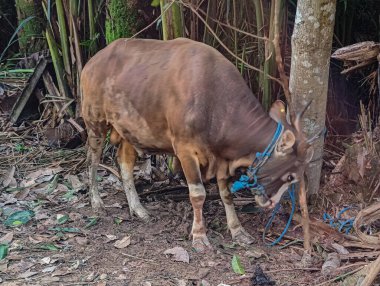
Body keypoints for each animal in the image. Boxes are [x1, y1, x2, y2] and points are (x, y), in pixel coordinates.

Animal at [81, 36, 314, 251]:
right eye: (291, 176)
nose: (271, 203)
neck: (216, 104)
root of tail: (92, 61)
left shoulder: (221, 158)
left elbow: (226, 194)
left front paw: (238, 231)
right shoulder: (185, 150)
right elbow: (198, 194)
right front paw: (200, 236)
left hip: (130, 130)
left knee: (125, 163)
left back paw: (138, 208)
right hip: (94, 120)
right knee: (92, 160)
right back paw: (97, 202)